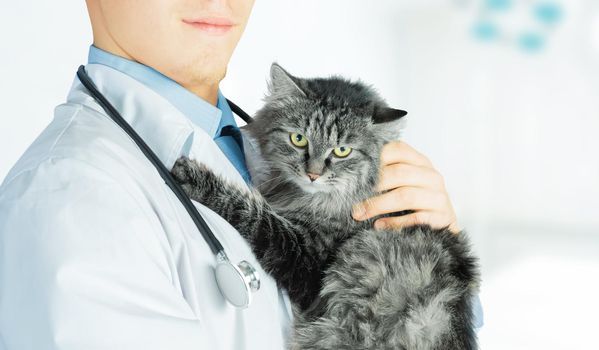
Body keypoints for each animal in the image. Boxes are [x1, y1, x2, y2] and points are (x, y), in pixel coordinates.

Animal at [171, 63, 480, 350]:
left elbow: (253, 213)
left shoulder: (306, 259)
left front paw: (194, 177)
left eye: (342, 151)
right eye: (298, 139)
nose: (313, 174)